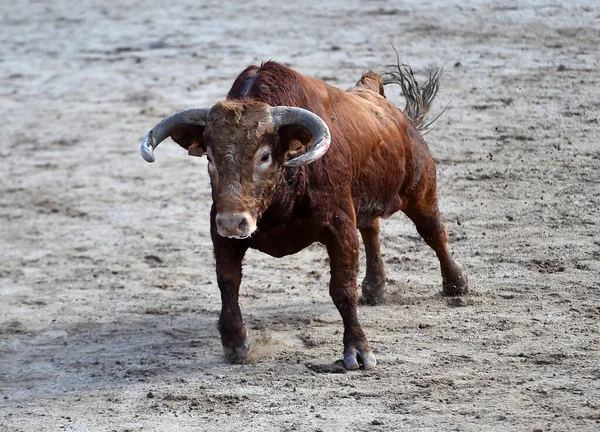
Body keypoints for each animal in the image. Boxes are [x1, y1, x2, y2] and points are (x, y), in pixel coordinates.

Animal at [139, 60, 468, 372]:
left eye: (264, 155)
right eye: (209, 157)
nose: (233, 222)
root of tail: (383, 102)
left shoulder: (340, 226)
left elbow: (342, 288)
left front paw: (357, 351)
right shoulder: (220, 230)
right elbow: (229, 282)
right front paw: (235, 343)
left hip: (420, 189)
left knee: (434, 232)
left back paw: (456, 285)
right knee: (372, 229)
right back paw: (375, 289)